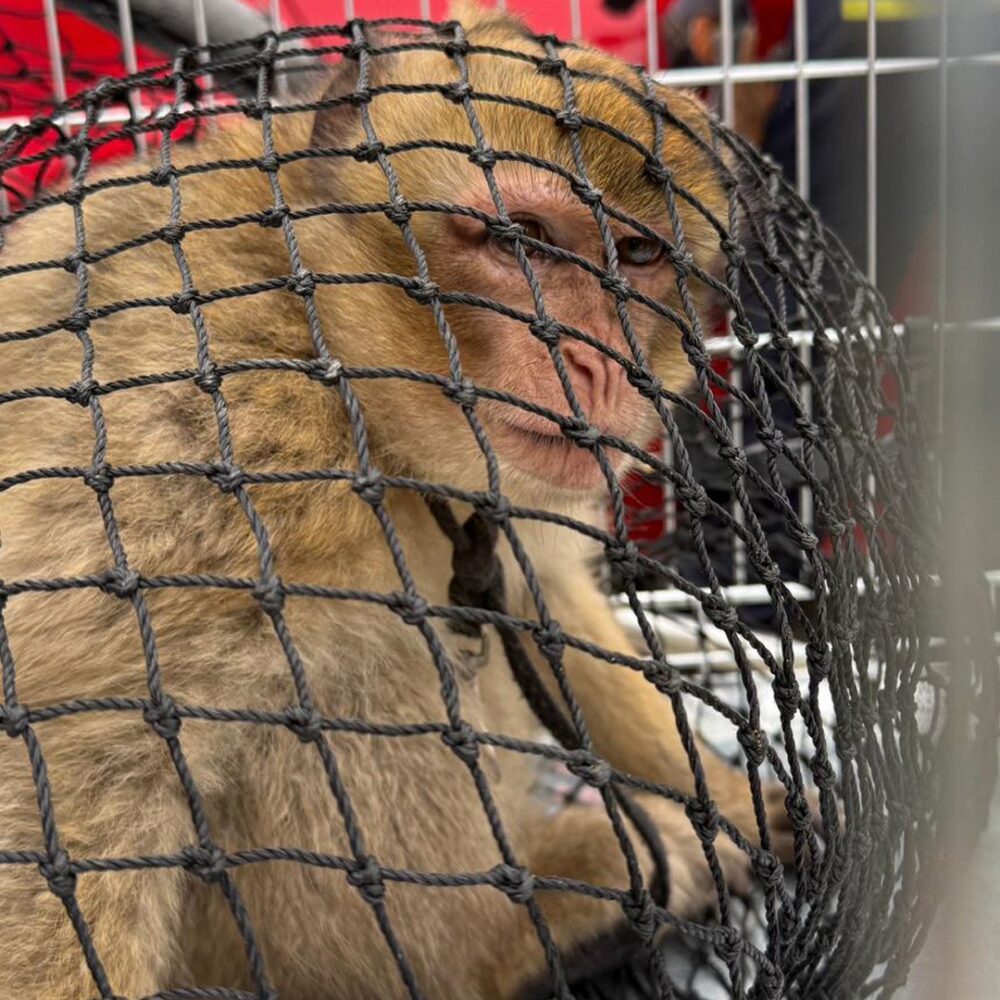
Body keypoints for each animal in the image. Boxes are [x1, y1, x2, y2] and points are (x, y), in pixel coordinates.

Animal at [0, 4, 811, 998]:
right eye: (522, 239)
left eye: (638, 254)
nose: (596, 366)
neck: (346, 380)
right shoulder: (191, 436)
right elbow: (76, 782)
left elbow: (546, 604)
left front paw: (729, 800)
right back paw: (528, 930)